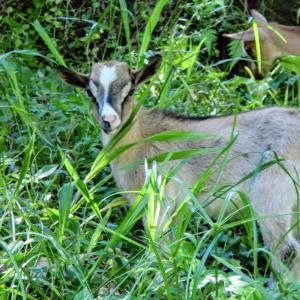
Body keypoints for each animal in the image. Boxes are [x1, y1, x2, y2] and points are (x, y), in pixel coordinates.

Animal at [58, 55, 300, 284]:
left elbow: (159, 246)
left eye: (131, 90)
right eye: (90, 93)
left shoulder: (158, 196)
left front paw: (157, 283)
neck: (140, 137)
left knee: (286, 250)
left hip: (272, 193)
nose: (108, 120)